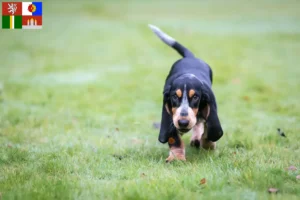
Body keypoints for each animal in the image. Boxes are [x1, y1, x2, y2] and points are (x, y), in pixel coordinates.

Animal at [149, 24, 224, 162]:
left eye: (195, 97)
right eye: (174, 96)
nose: (183, 122)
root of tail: (190, 57)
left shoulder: (210, 106)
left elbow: (208, 131)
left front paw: (208, 145)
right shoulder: (170, 115)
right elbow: (174, 139)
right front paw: (176, 158)